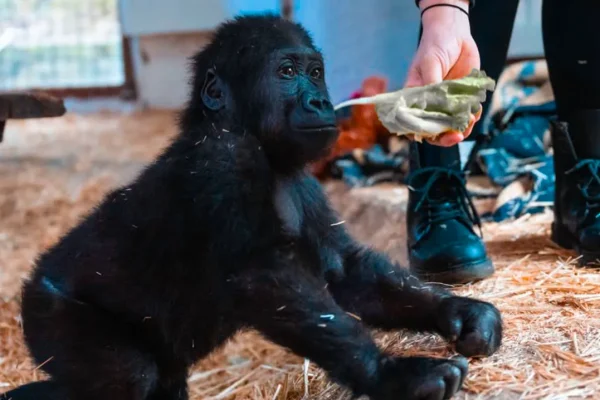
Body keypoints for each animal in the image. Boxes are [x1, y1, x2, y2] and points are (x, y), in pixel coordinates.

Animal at [1, 14, 502, 400]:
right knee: (127, 376)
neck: (250, 134)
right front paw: (395, 375)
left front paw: (459, 312)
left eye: (314, 72)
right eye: (286, 72)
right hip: (48, 312)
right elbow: (265, 278)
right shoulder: (223, 161)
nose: (321, 101)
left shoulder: (305, 184)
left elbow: (349, 273)